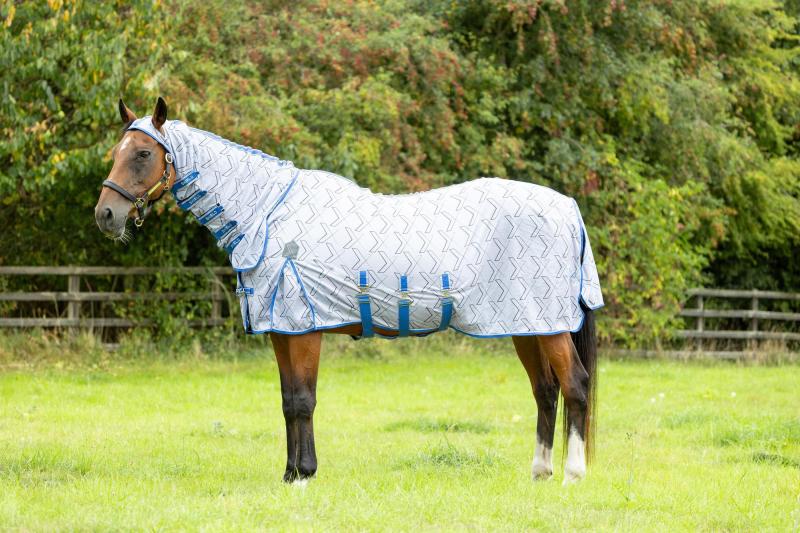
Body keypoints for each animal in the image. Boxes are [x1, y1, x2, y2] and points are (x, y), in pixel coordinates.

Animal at [95, 97, 603, 484]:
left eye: (143, 154)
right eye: (117, 150)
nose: (106, 215)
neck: (269, 214)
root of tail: (568, 207)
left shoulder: (304, 330)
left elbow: (304, 400)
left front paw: (305, 474)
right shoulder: (282, 332)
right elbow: (288, 401)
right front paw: (290, 474)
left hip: (547, 326)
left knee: (575, 385)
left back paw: (573, 474)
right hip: (526, 325)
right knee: (545, 391)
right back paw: (539, 472)